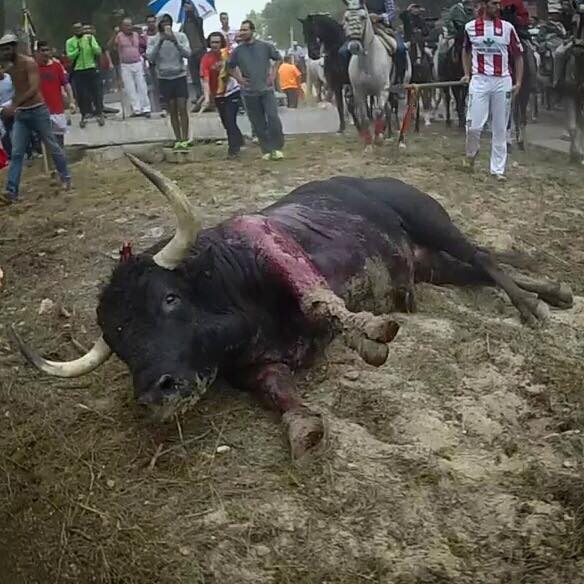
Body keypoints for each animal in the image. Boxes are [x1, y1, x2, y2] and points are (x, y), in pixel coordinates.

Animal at [11, 155, 572, 460]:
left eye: (169, 299)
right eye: (119, 342)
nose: (155, 395)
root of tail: (372, 178)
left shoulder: (278, 252)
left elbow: (321, 299)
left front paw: (370, 333)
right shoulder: (254, 368)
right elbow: (278, 391)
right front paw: (303, 426)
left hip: (429, 218)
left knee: (482, 257)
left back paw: (532, 306)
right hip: (429, 262)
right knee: (475, 268)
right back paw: (554, 293)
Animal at [342, 0, 392, 146]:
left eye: (363, 17)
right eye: (346, 18)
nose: (354, 46)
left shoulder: (382, 89)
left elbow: (378, 112)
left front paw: (378, 137)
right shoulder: (359, 92)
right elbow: (364, 117)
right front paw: (368, 144)